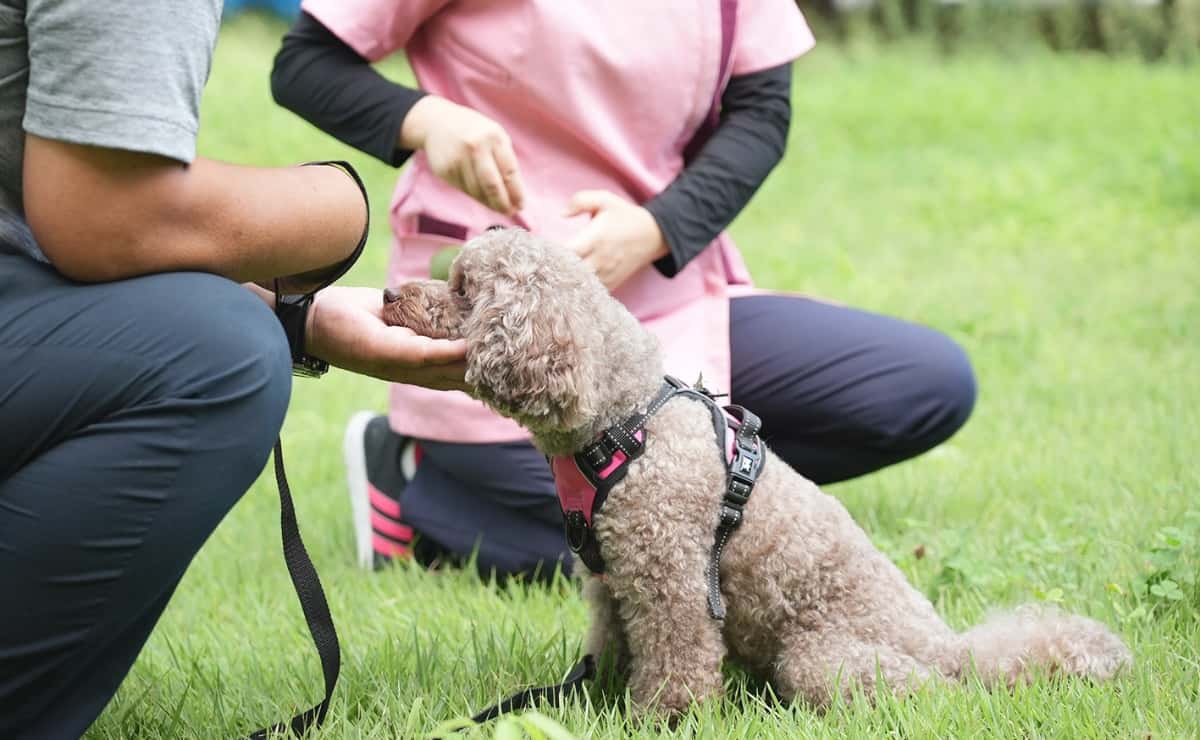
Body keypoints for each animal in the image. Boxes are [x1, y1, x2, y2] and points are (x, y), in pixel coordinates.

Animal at [386, 229, 1132, 714]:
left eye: (465, 289)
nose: (391, 293)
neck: (621, 422)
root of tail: (950, 646)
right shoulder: (609, 581)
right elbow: (608, 646)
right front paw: (596, 699)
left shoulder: (670, 578)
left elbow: (677, 661)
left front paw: (662, 719)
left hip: (820, 660)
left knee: (929, 695)